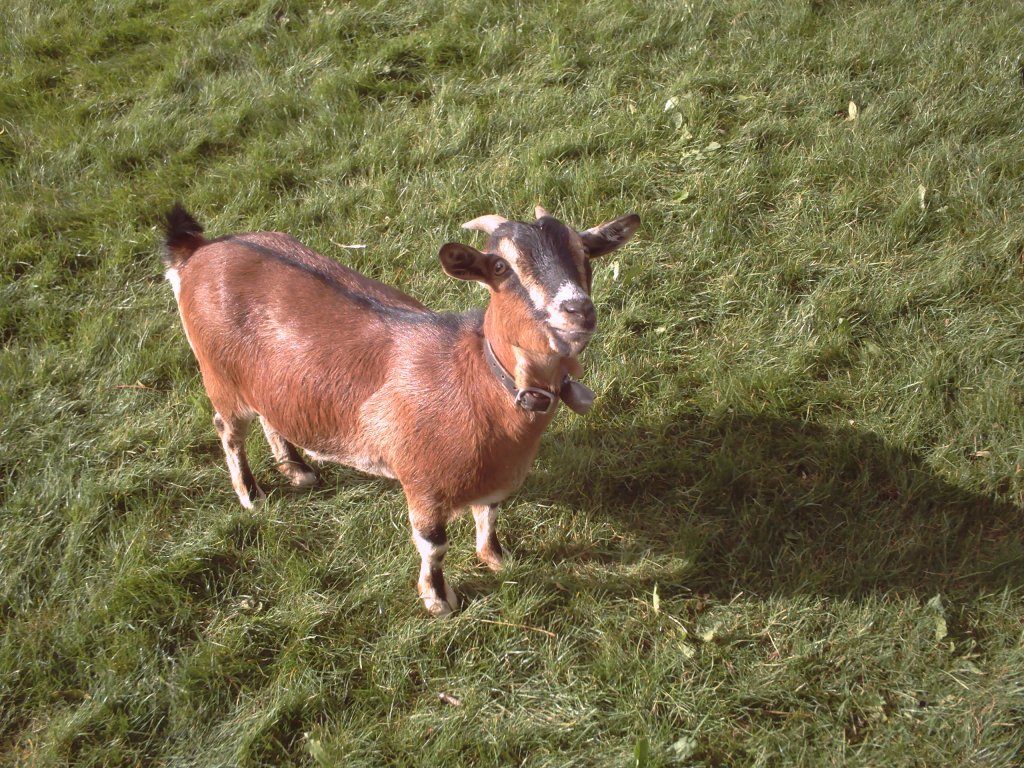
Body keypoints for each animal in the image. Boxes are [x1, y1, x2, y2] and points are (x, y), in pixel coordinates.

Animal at [162, 204, 640, 615]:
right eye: (501, 267)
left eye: (584, 253)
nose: (577, 310)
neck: (475, 380)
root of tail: (200, 250)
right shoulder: (423, 482)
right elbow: (433, 545)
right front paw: (439, 600)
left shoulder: (494, 481)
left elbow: (488, 516)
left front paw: (496, 558)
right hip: (219, 376)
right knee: (229, 430)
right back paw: (251, 495)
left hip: (265, 382)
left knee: (269, 416)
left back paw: (297, 470)